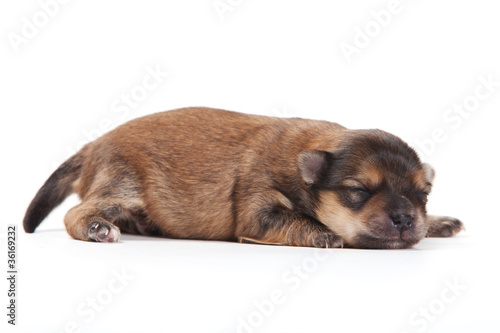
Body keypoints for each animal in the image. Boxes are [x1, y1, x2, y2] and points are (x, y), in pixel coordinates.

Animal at [23, 107, 462, 248]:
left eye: (424, 193)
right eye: (358, 190)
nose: (404, 218)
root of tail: (92, 145)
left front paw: (438, 222)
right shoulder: (258, 211)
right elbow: (295, 220)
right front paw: (324, 233)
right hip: (122, 182)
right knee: (76, 213)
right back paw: (98, 228)